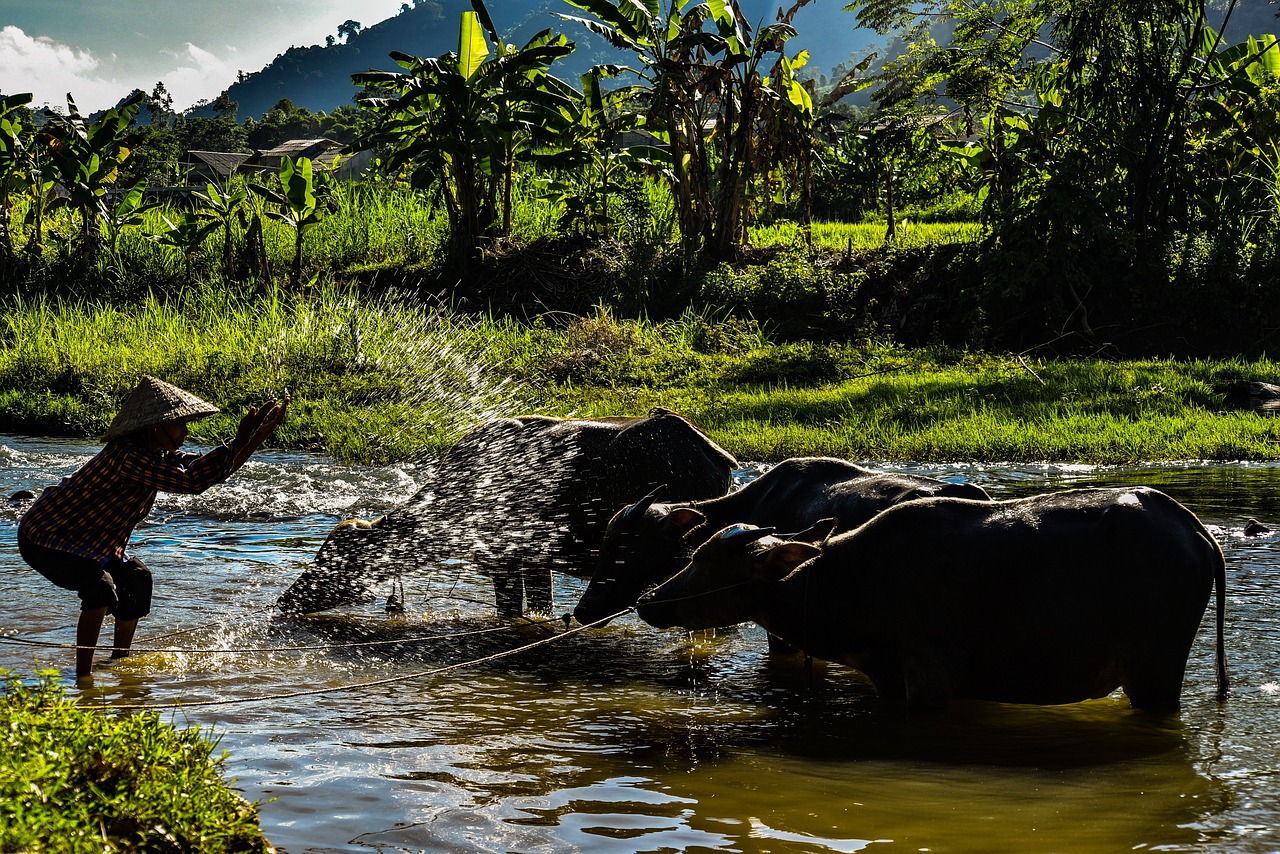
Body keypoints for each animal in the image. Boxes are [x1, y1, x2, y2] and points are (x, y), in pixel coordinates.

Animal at [640, 486, 1228, 717]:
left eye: (710, 562)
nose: (649, 600)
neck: (841, 581)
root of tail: (1195, 530)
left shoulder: (929, 678)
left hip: (1154, 673)